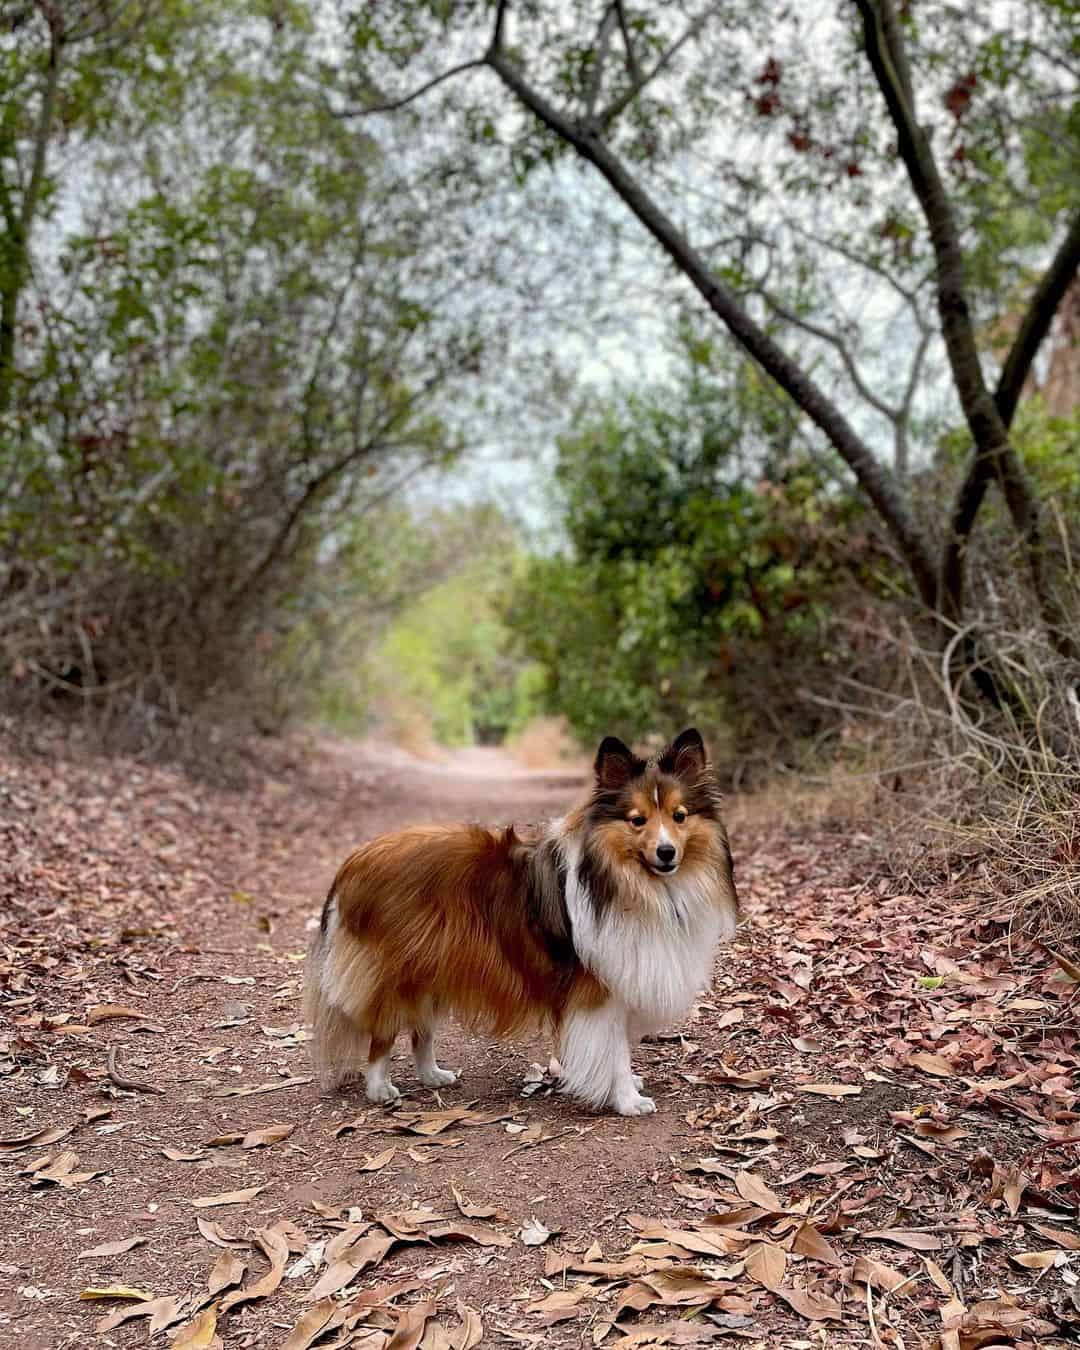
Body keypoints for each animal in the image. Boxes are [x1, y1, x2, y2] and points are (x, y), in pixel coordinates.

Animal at [307, 729, 739, 1117]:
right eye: (637, 820)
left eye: (679, 816)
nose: (666, 852)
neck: (629, 881)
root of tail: (354, 860)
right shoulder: (599, 990)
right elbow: (614, 1050)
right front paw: (627, 1100)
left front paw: (628, 1085)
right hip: (398, 972)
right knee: (383, 1032)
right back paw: (380, 1089)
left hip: (433, 966)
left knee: (421, 1029)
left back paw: (433, 1075)